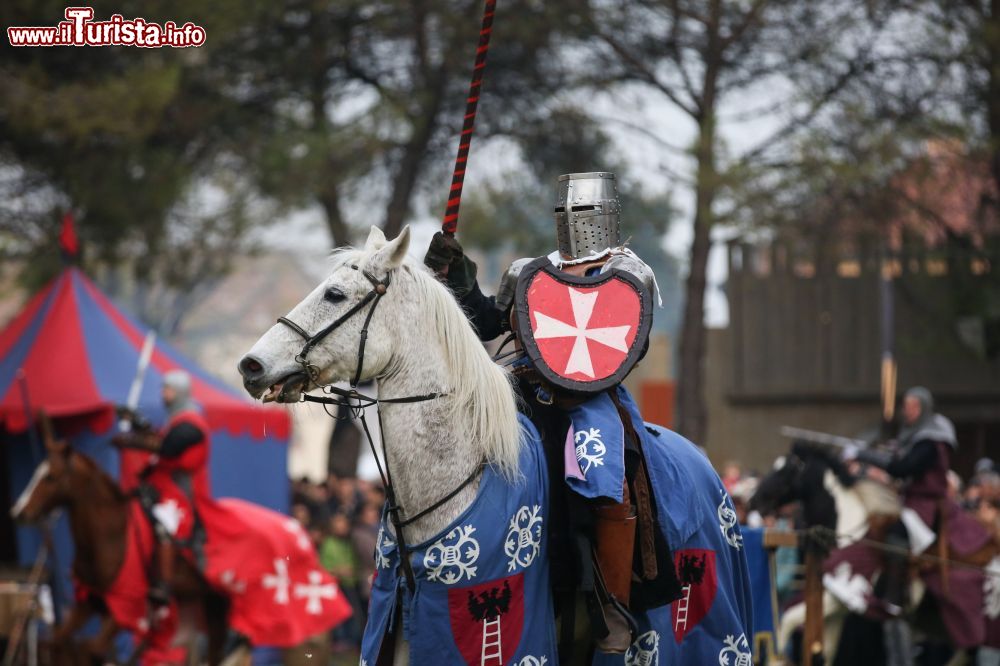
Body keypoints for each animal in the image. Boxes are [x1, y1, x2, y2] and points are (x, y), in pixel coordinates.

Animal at [10, 418, 230, 660]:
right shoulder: (87, 602)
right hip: (213, 603)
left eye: (50, 477)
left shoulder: (125, 608)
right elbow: (57, 641)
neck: (108, 537)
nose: (19, 512)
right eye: (36, 473)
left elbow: (91, 648)